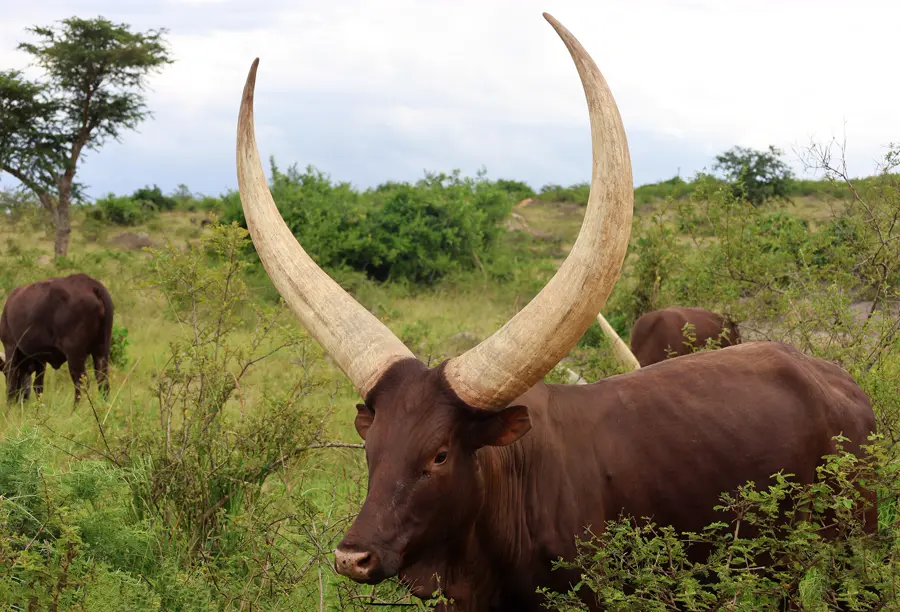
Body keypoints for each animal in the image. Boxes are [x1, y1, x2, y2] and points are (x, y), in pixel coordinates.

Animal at [0, 273, 114, 404]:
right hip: (101, 351)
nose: (24, 397)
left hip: (75, 355)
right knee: (103, 381)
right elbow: (37, 386)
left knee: (81, 384)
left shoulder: (11, 348)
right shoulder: (40, 359)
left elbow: (11, 383)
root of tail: (92, 285)